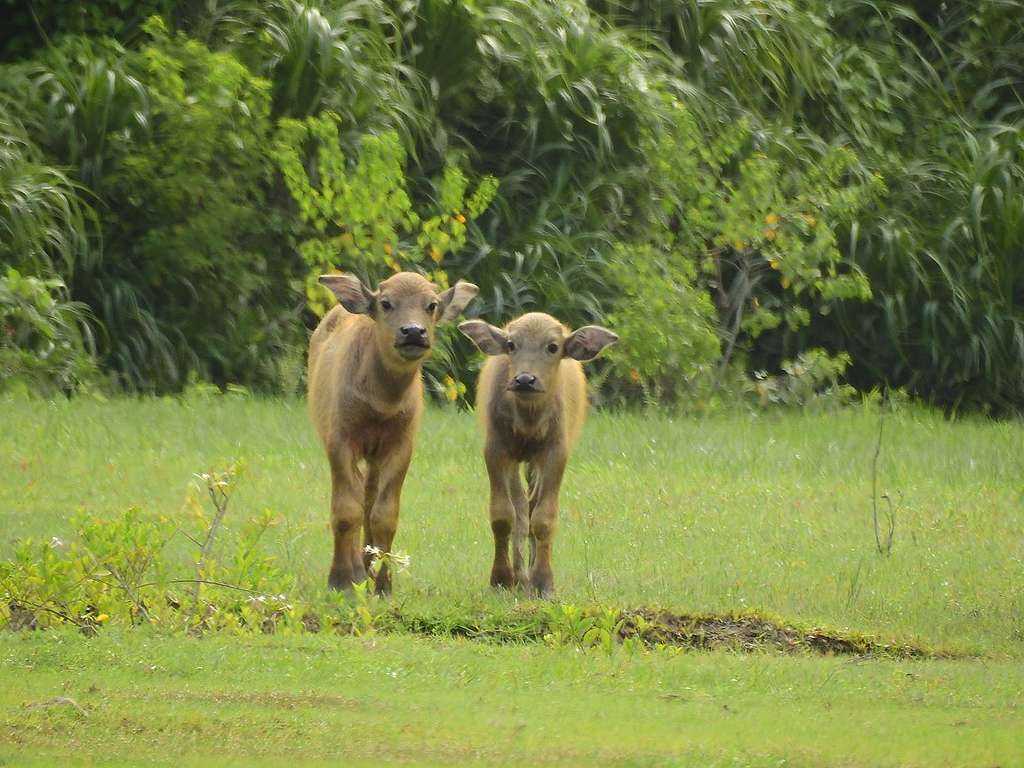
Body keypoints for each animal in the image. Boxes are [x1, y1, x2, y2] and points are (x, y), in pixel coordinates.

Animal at [305, 272, 477, 593]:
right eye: (385, 303)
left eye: (431, 305)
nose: (413, 332)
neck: (382, 401)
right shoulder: (340, 441)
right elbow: (345, 510)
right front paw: (341, 580)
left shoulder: (400, 446)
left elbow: (384, 515)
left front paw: (383, 584)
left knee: (368, 498)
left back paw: (366, 566)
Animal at [462, 311, 618, 593]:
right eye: (511, 344)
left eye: (553, 347)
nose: (524, 380)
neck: (528, 420)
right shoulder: (496, 451)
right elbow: (503, 516)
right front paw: (501, 578)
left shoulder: (555, 454)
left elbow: (543, 518)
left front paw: (543, 581)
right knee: (521, 508)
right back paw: (520, 575)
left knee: (531, 507)